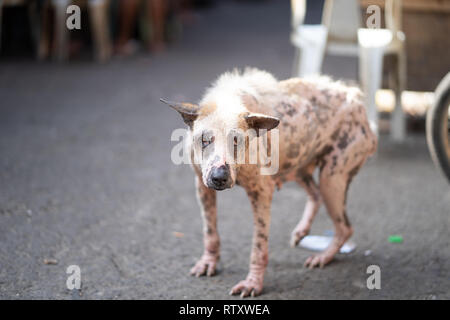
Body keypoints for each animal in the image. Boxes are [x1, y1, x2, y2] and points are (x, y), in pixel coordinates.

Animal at [161, 67, 376, 298]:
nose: (219, 177)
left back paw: (323, 257)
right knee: (316, 196)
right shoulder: (202, 186)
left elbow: (258, 247)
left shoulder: (261, 193)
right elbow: (210, 233)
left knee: (345, 228)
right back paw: (302, 232)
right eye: (204, 139)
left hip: (332, 179)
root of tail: (356, 101)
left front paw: (253, 283)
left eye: (237, 140)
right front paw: (208, 262)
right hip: (300, 168)